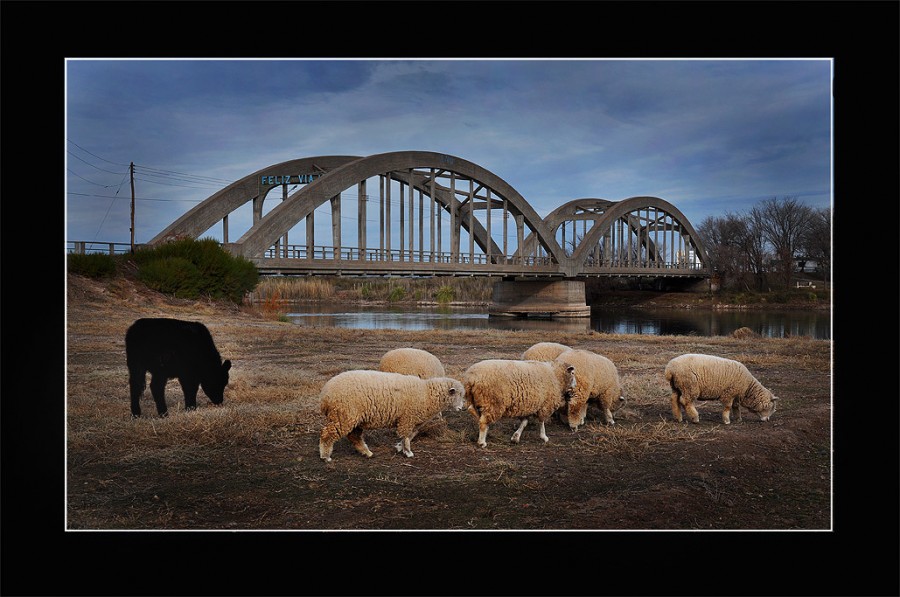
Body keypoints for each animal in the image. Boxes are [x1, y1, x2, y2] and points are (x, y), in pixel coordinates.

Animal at [318, 368, 464, 460]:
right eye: (458, 394)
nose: (461, 408)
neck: (427, 394)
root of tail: (325, 395)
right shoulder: (407, 418)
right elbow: (406, 436)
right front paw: (408, 452)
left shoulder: (413, 421)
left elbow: (411, 435)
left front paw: (400, 447)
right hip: (343, 415)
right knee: (327, 434)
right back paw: (325, 456)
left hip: (353, 418)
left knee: (354, 437)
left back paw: (367, 453)